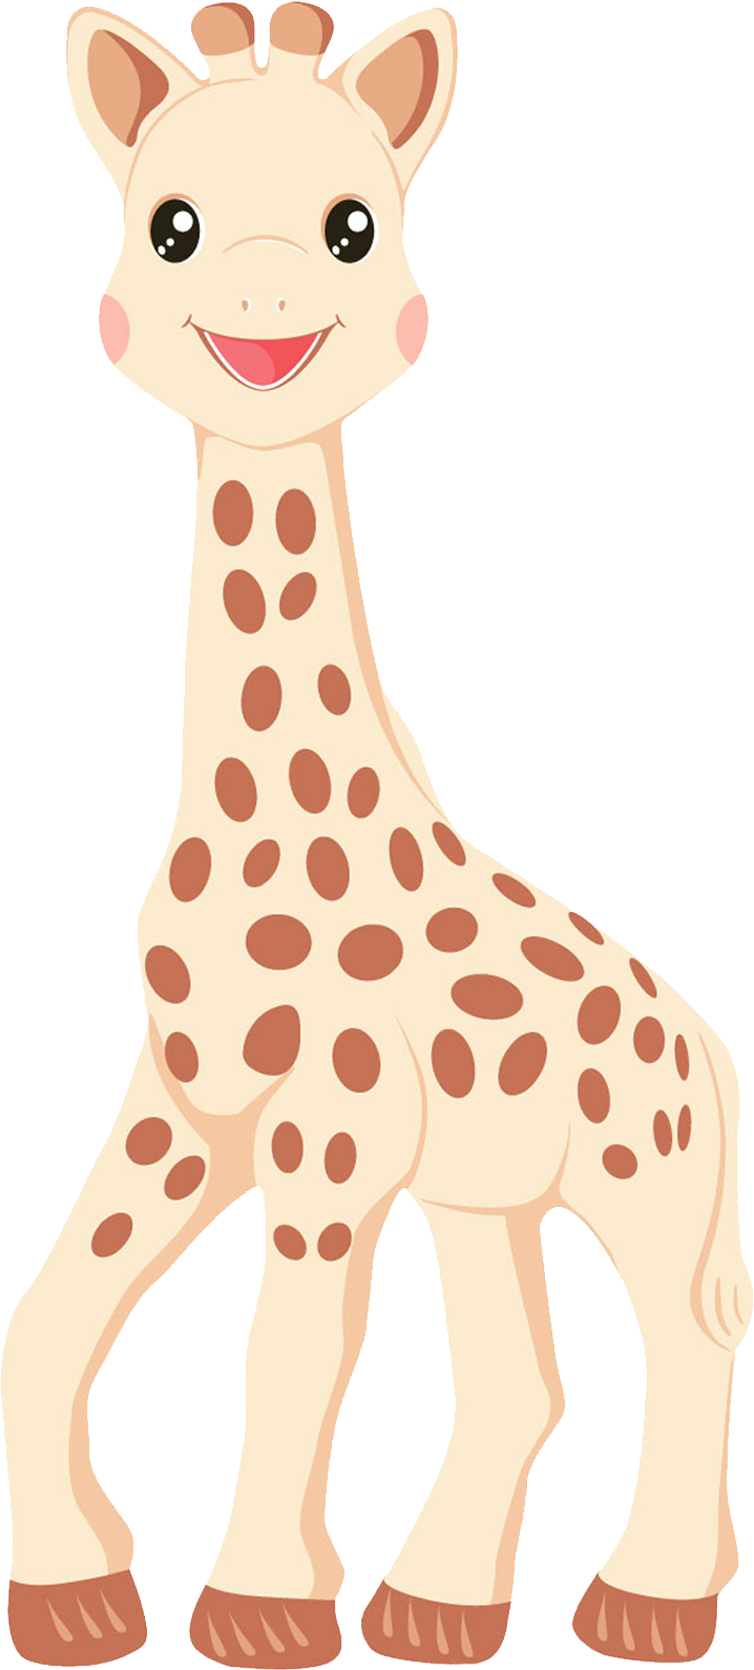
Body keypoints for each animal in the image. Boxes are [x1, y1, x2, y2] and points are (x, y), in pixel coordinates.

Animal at [3, 2, 750, 1664]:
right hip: (488, 1193)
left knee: (681, 1341)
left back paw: (642, 1604)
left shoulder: (328, 1130)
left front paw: (256, 1609)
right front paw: (73, 1590)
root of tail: (690, 1032)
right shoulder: (187, 1106)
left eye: (355, 223)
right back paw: (435, 1606)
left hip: (643, 1180)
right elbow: (64, 1294)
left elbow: (295, 1344)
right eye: (170, 220)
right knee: (529, 1376)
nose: (264, 302)